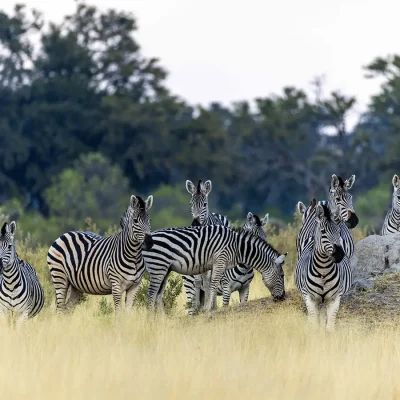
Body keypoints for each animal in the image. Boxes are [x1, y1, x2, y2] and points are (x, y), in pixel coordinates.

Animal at [144, 225, 288, 312]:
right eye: (282, 276)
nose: (282, 297)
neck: (237, 247)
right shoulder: (220, 261)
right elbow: (213, 284)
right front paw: (208, 309)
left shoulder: (213, 264)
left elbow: (209, 285)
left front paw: (208, 308)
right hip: (158, 267)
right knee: (151, 294)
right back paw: (151, 321)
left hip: (165, 269)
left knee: (158, 295)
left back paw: (162, 321)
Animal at [183, 178, 230, 312]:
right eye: (190, 204)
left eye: (204, 204)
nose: (195, 223)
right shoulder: (196, 257)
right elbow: (198, 281)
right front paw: (196, 306)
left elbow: (210, 280)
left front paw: (209, 306)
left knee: (214, 279)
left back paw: (213, 305)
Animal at [294, 203, 350, 332]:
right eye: (323, 231)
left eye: (338, 231)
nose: (339, 254)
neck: (323, 269)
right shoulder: (309, 297)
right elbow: (313, 324)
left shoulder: (335, 298)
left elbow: (330, 327)